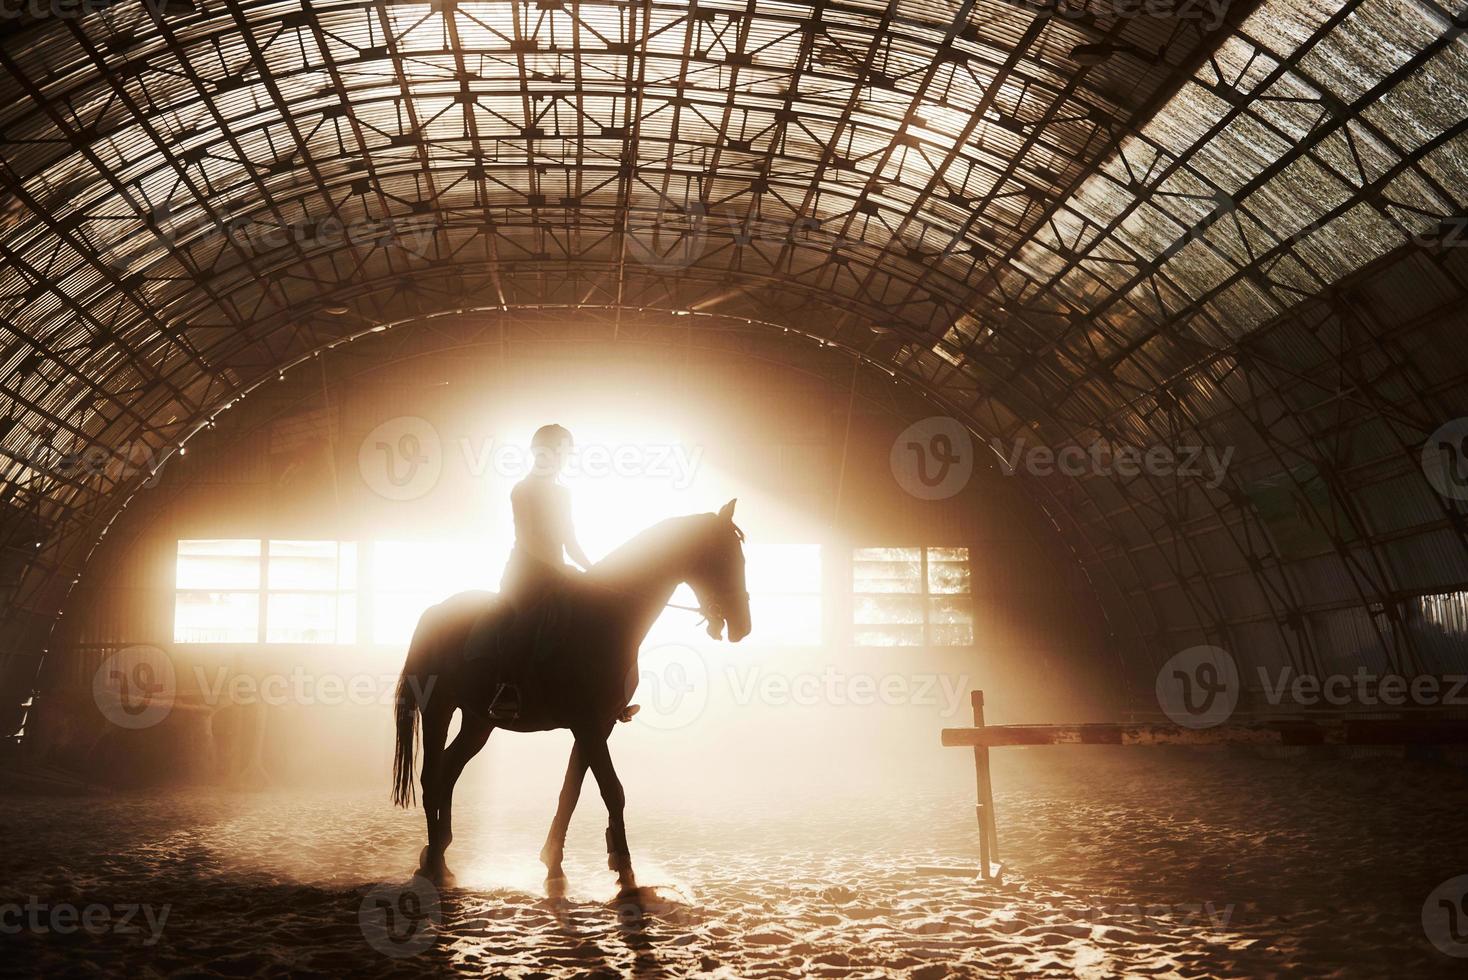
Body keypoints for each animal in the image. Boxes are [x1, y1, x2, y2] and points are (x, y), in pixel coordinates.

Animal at [390, 501, 751, 891]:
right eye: (724, 558)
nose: (743, 626)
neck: (608, 618)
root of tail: (433, 613)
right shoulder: (588, 723)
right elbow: (612, 790)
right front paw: (625, 870)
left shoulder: (600, 724)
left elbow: (571, 791)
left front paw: (554, 863)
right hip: (439, 708)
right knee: (431, 777)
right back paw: (435, 866)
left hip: (478, 721)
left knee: (449, 770)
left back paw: (439, 852)